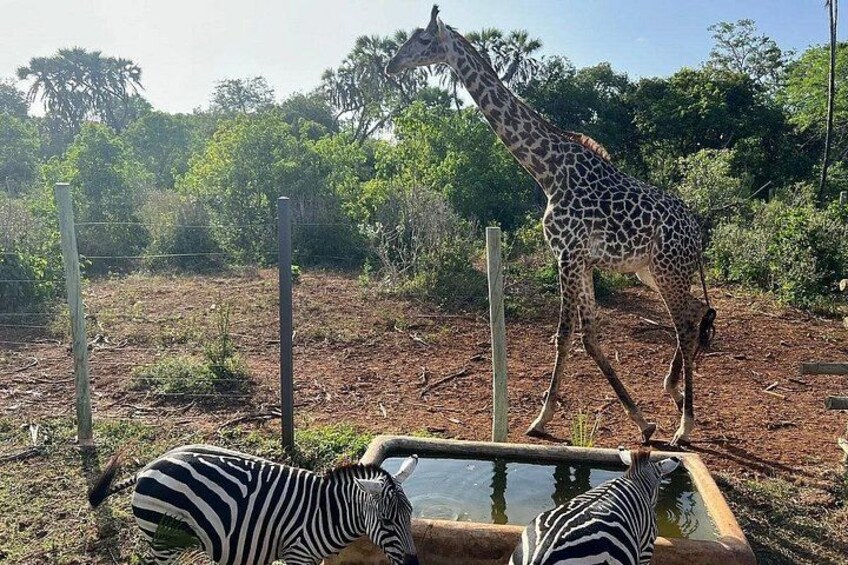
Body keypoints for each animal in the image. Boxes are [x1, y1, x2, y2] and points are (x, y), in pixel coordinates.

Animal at [385, 6, 716, 446]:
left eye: (422, 40)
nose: (390, 65)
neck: (548, 172)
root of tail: (696, 231)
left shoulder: (567, 254)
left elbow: (563, 335)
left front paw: (541, 419)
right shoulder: (582, 261)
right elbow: (589, 336)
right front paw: (641, 421)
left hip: (668, 268)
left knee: (682, 325)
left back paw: (685, 424)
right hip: (650, 272)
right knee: (696, 312)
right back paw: (672, 391)